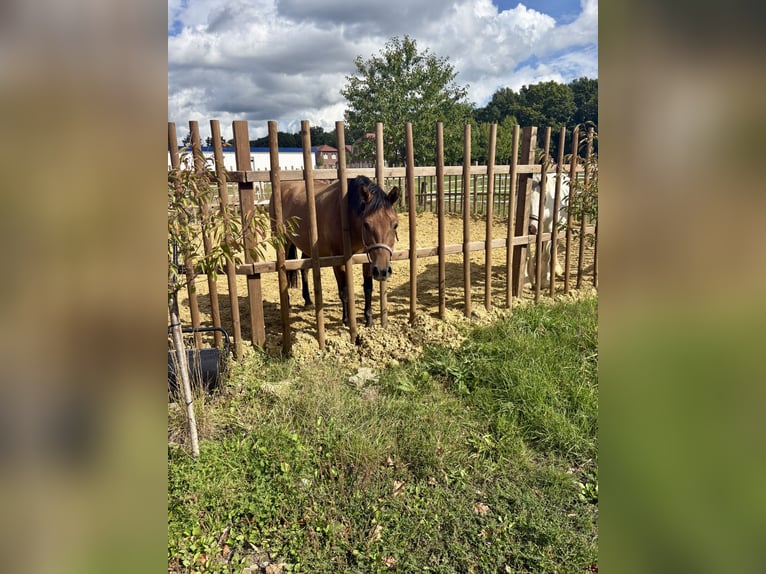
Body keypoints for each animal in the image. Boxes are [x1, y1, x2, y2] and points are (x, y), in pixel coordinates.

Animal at [270, 175, 400, 327]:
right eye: (366, 224)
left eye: (395, 224)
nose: (382, 271)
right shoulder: (339, 262)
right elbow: (344, 291)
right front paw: (347, 320)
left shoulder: (368, 259)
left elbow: (368, 288)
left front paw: (369, 319)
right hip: (282, 242)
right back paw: (288, 304)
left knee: (304, 270)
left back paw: (308, 301)